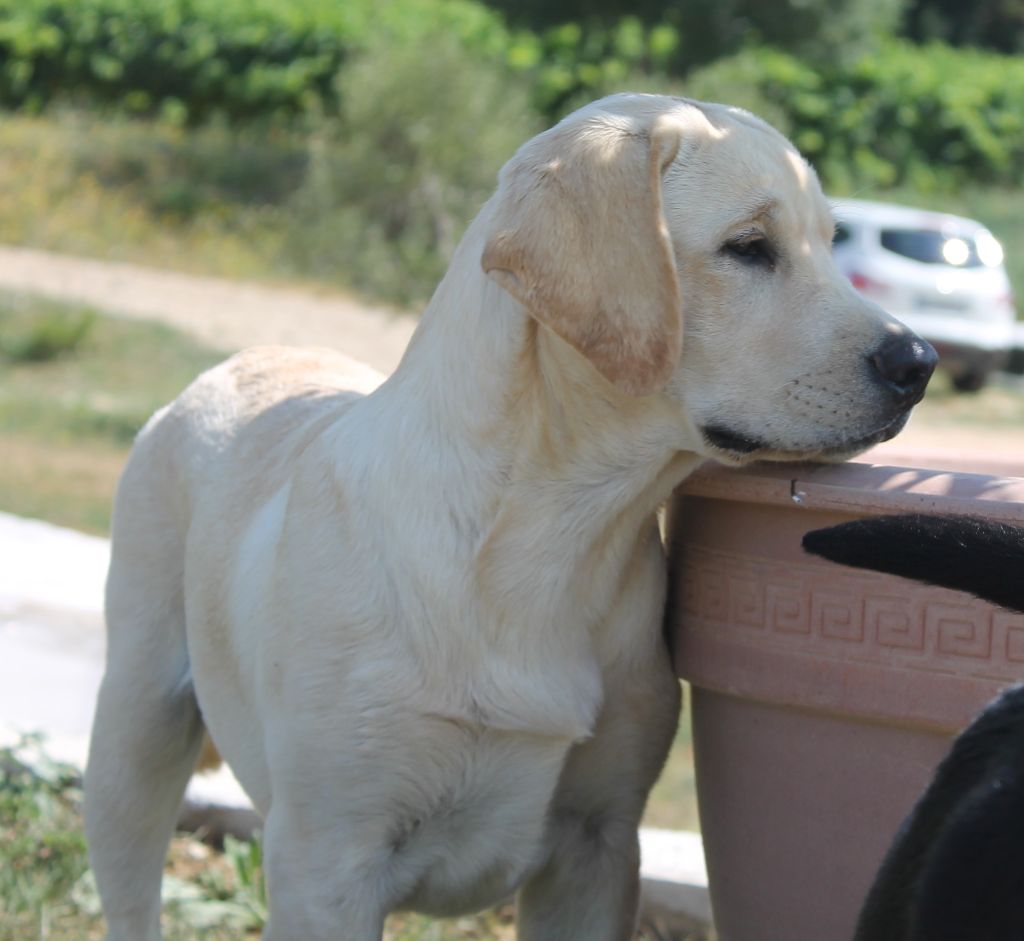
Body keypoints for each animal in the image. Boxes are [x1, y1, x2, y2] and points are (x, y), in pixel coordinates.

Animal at [86, 97, 937, 941]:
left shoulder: (599, 844)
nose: (919, 363)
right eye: (750, 248)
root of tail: (240, 360)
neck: (553, 529)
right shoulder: (328, 863)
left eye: (830, 243)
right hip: (134, 736)